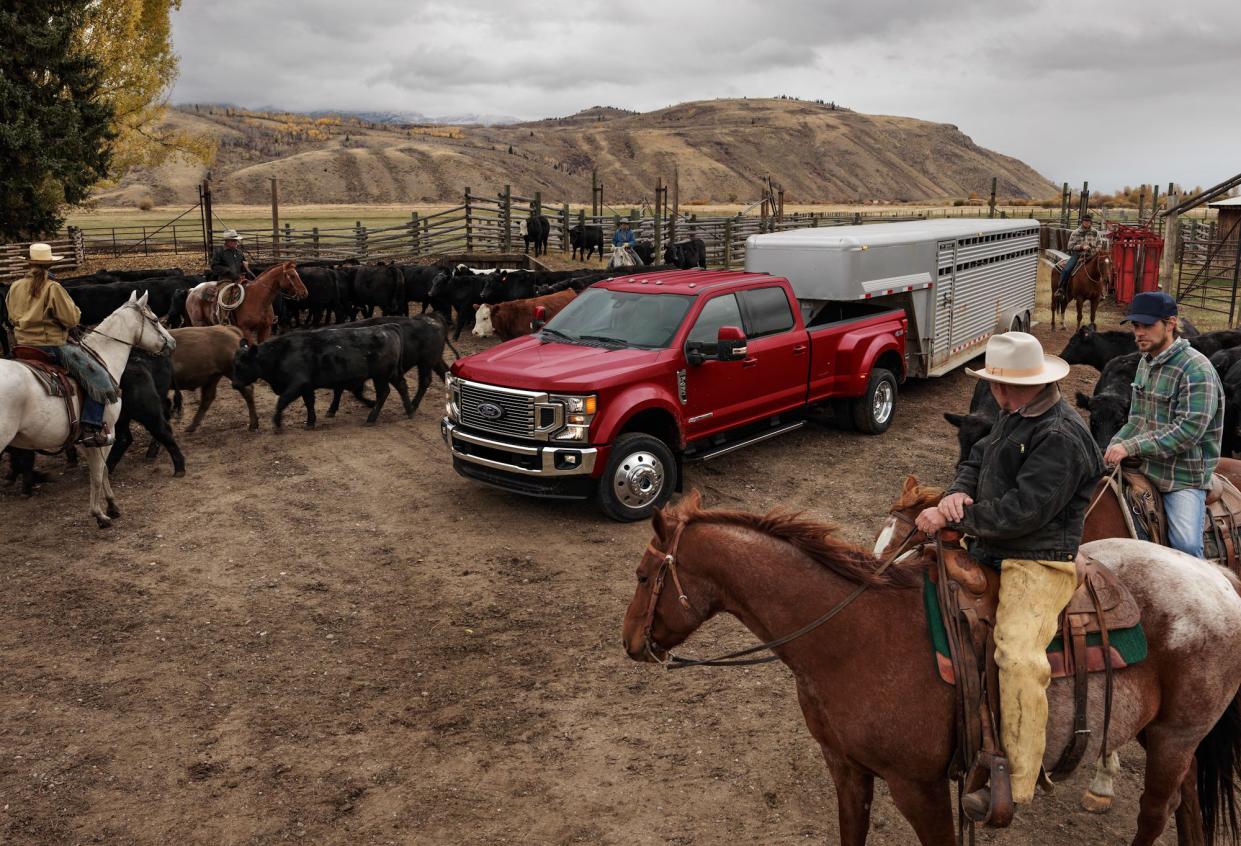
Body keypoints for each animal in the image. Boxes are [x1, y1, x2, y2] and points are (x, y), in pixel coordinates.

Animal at [0, 291, 176, 525]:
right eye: (155, 320)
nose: (172, 342)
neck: (104, 358)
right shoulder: (107, 431)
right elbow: (99, 472)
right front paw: (101, 513)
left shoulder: (84, 438)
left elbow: (100, 470)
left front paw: (109, 506)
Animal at [230, 322, 409, 429]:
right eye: (234, 364)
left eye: (240, 365)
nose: (234, 384)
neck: (281, 353)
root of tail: (387, 328)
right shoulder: (306, 386)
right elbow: (309, 403)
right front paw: (310, 421)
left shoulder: (297, 383)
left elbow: (282, 401)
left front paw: (277, 422)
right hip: (391, 374)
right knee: (401, 386)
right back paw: (410, 410)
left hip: (381, 376)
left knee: (384, 393)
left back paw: (371, 418)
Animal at [625, 488, 1241, 843]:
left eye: (642, 575)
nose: (631, 642)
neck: (851, 636)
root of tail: (1219, 577)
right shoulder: (847, 769)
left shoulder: (917, 787)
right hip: (1170, 739)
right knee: (1186, 805)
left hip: (1175, 735)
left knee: (1155, 812)